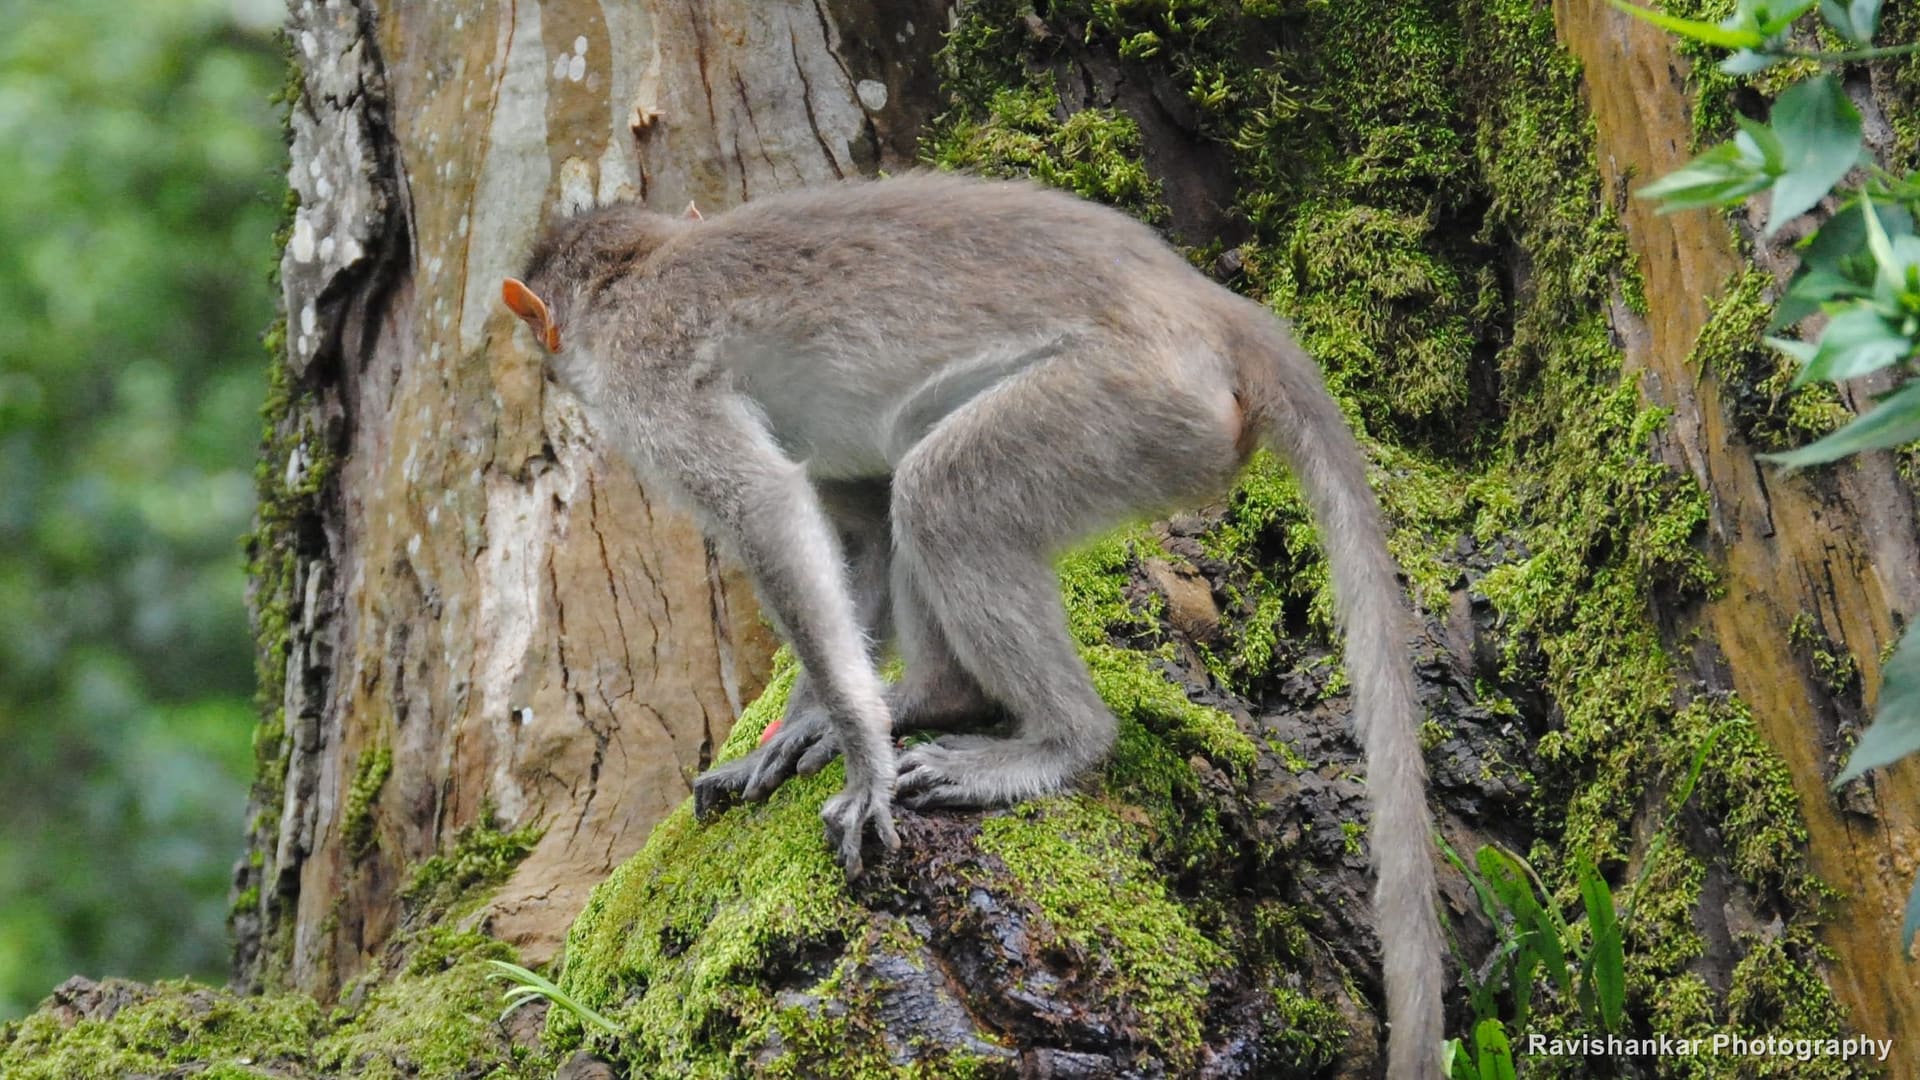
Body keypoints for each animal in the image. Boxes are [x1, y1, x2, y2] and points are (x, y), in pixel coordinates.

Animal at [501, 172, 1442, 1078]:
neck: (643, 264)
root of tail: (1217, 311)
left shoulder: (646, 377)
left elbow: (765, 506)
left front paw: (864, 761)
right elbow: (859, 532)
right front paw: (805, 725)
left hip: (1135, 408)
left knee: (944, 490)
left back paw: (1059, 741)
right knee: (912, 471)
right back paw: (938, 695)